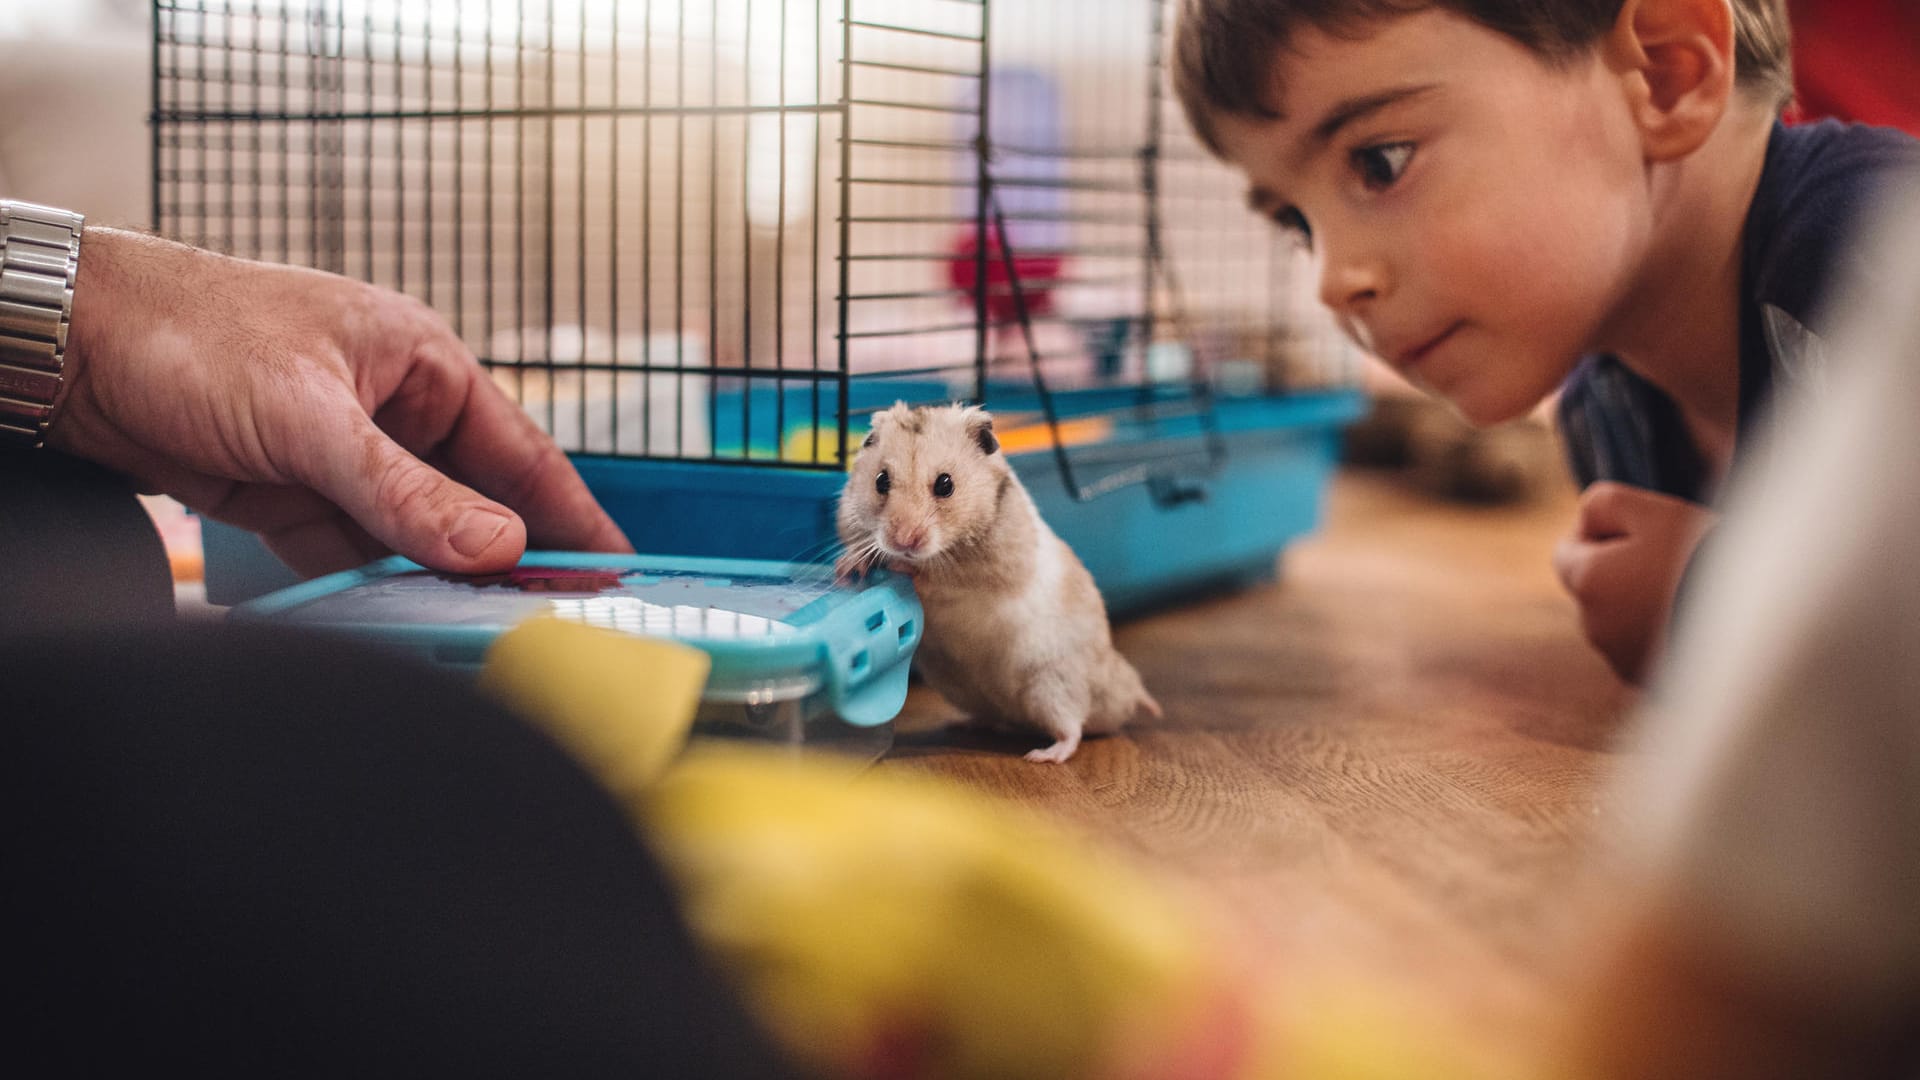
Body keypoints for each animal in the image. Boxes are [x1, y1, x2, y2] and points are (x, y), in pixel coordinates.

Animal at [837, 399, 1159, 760]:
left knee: (1072, 727)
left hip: (1053, 685)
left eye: (945, 484)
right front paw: (849, 566)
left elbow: (940, 580)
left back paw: (1044, 755)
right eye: (881, 481)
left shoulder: (988, 570)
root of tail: (1122, 694)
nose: (903, 541)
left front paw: (900, 566)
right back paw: (962, 724)